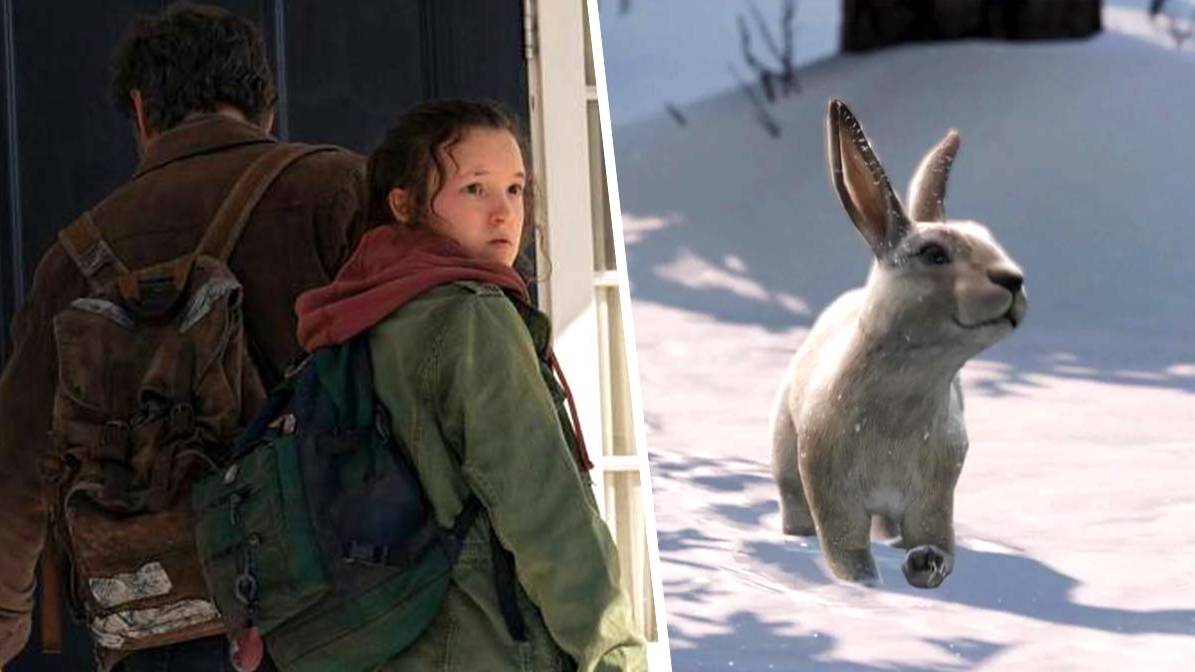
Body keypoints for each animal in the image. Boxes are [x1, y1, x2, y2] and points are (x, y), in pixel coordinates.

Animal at [770, 99, 1027, 589]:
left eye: (988, 238)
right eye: (934, 254)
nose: (1014, 280)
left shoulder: (935, 493)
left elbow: (936, 539)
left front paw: (924, 564)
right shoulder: (831, 491)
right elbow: (848, 555)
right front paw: (865, 588)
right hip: (786, 454)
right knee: (794, 506)